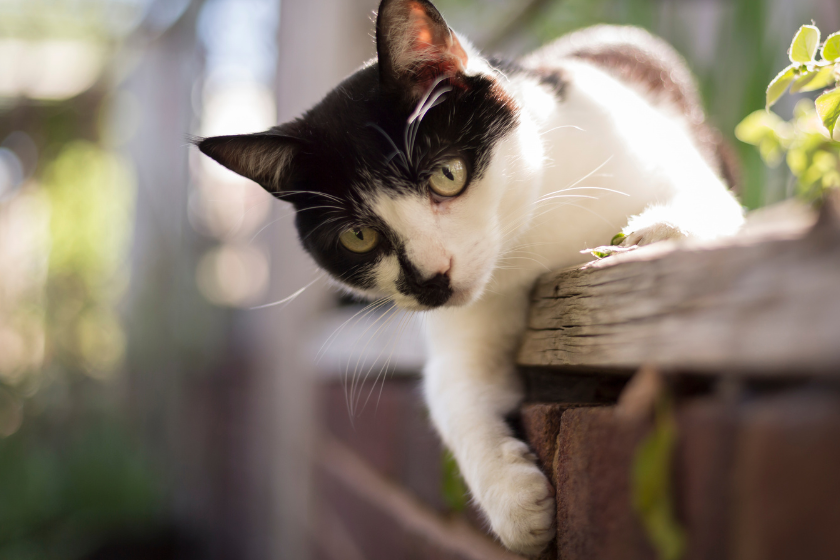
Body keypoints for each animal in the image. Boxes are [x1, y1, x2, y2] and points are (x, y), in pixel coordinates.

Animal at [195, 0, 740, 552]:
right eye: (357, 237)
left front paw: (657, 230)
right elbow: (454, 390)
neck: (530, 234)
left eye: (447, 175)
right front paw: (517, 505)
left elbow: (706, 199)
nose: (429, 279)